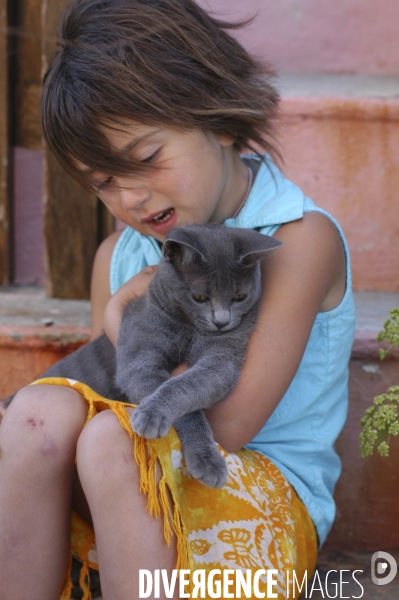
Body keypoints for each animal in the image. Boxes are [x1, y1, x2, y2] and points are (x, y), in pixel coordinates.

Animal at [7, 225, 282, 488]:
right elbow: (179, 396)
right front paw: (159, 423)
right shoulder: (140, 354)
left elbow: (184, 385)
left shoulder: (222, 357)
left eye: (240, 297)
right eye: (200, 297)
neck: (188, 330)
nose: (222, 321)